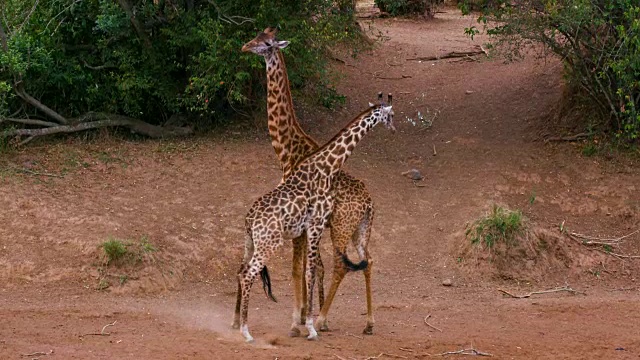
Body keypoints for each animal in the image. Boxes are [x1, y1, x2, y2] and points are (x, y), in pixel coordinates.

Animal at [232, 96, 396, 344]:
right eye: (392, 115)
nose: (394, 129)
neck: (327, 167)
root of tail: (249, 219)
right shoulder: (316, 225)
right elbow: (309, 271)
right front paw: (309, 327)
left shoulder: (308, 228)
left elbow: (309, 270)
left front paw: (304, 323)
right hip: (272, 243)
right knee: (249, 273)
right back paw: (246, 331)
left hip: (252, 243)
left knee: (242, 271)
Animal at [242, 26, 378, 336]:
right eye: (255, 35)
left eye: (266, 43)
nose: (244, 47)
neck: (286, 150)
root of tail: (369, 203)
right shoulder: (304, 225)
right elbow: (311, 268)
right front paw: (304, 315)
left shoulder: (301, 224)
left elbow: (300, 269)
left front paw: (299, 320)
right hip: (359, 229)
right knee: (367, 261)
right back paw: (367, 323)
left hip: (340, 226)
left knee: (341, 265)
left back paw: (323, 319)